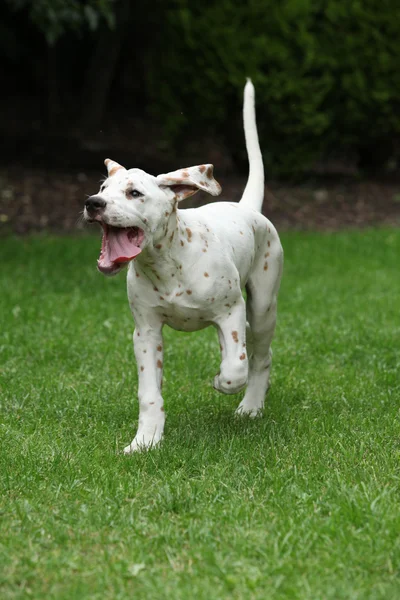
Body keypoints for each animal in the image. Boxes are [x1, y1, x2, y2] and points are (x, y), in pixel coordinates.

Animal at [83, 81, 284, 454]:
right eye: (102, 188)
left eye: (134, 193)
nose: (93, 203)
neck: (167, 264)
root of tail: (246, 207)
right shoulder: (145, 332)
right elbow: (149, 394)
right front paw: (145, 441)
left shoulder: (231, 311)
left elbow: (235, 367)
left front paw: (222, 382)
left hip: (263, 305)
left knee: (258, 356)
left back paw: (250, 406)